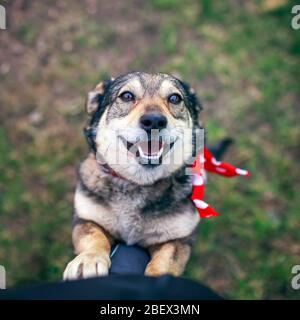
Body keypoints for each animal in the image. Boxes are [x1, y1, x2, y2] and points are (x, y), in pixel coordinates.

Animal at [63, 70, 204, 280]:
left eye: (174, 98)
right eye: (127, 96)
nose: (154, 121)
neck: (137, 184)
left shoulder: (179, 239)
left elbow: (165, 260)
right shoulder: (86, 218)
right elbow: (94, 236)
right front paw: (89, 259)